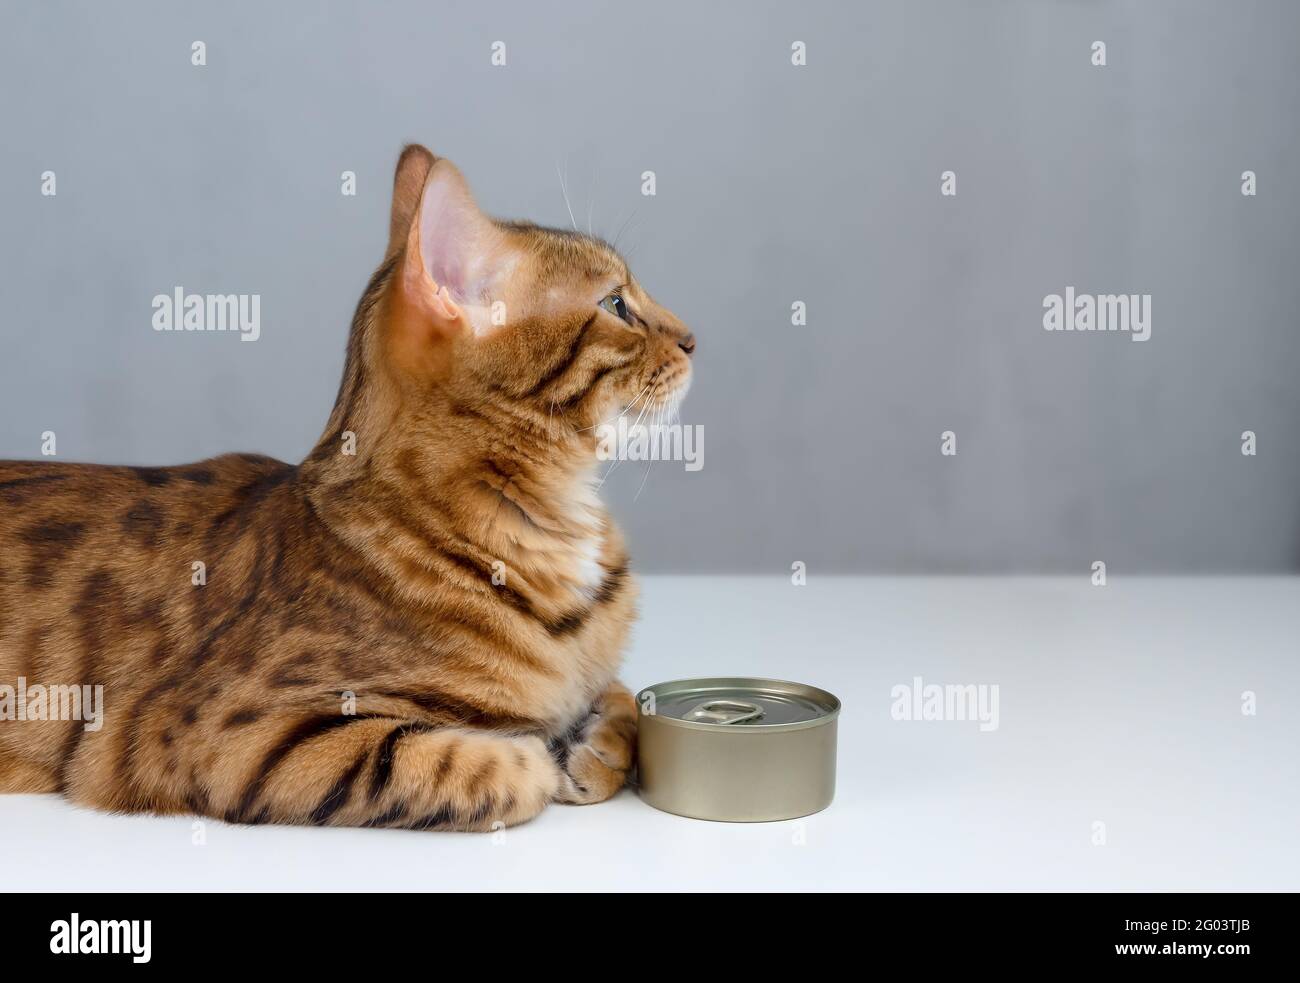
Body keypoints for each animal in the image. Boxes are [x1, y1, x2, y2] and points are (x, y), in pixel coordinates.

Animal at [0, 142, 696, 826]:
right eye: (616, 305)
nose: (693, 339)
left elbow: (625, 702)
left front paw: (593, 744)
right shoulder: (195, 734)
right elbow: (469, 763)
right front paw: (539, 754)